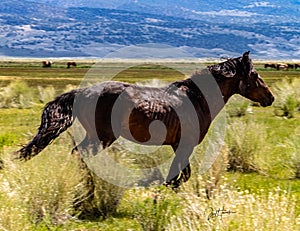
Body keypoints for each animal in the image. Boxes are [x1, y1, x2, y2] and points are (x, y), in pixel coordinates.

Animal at [15, 51, 274, 189]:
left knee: (78, 154)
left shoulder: (179, 145)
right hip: (102, 136)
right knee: (80, 153)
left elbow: (182, 172)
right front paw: (167, 187)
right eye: (254, 74)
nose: (270, 98)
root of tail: (82, 92)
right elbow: (183, 173)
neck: (195, 98)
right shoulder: (184, 144)